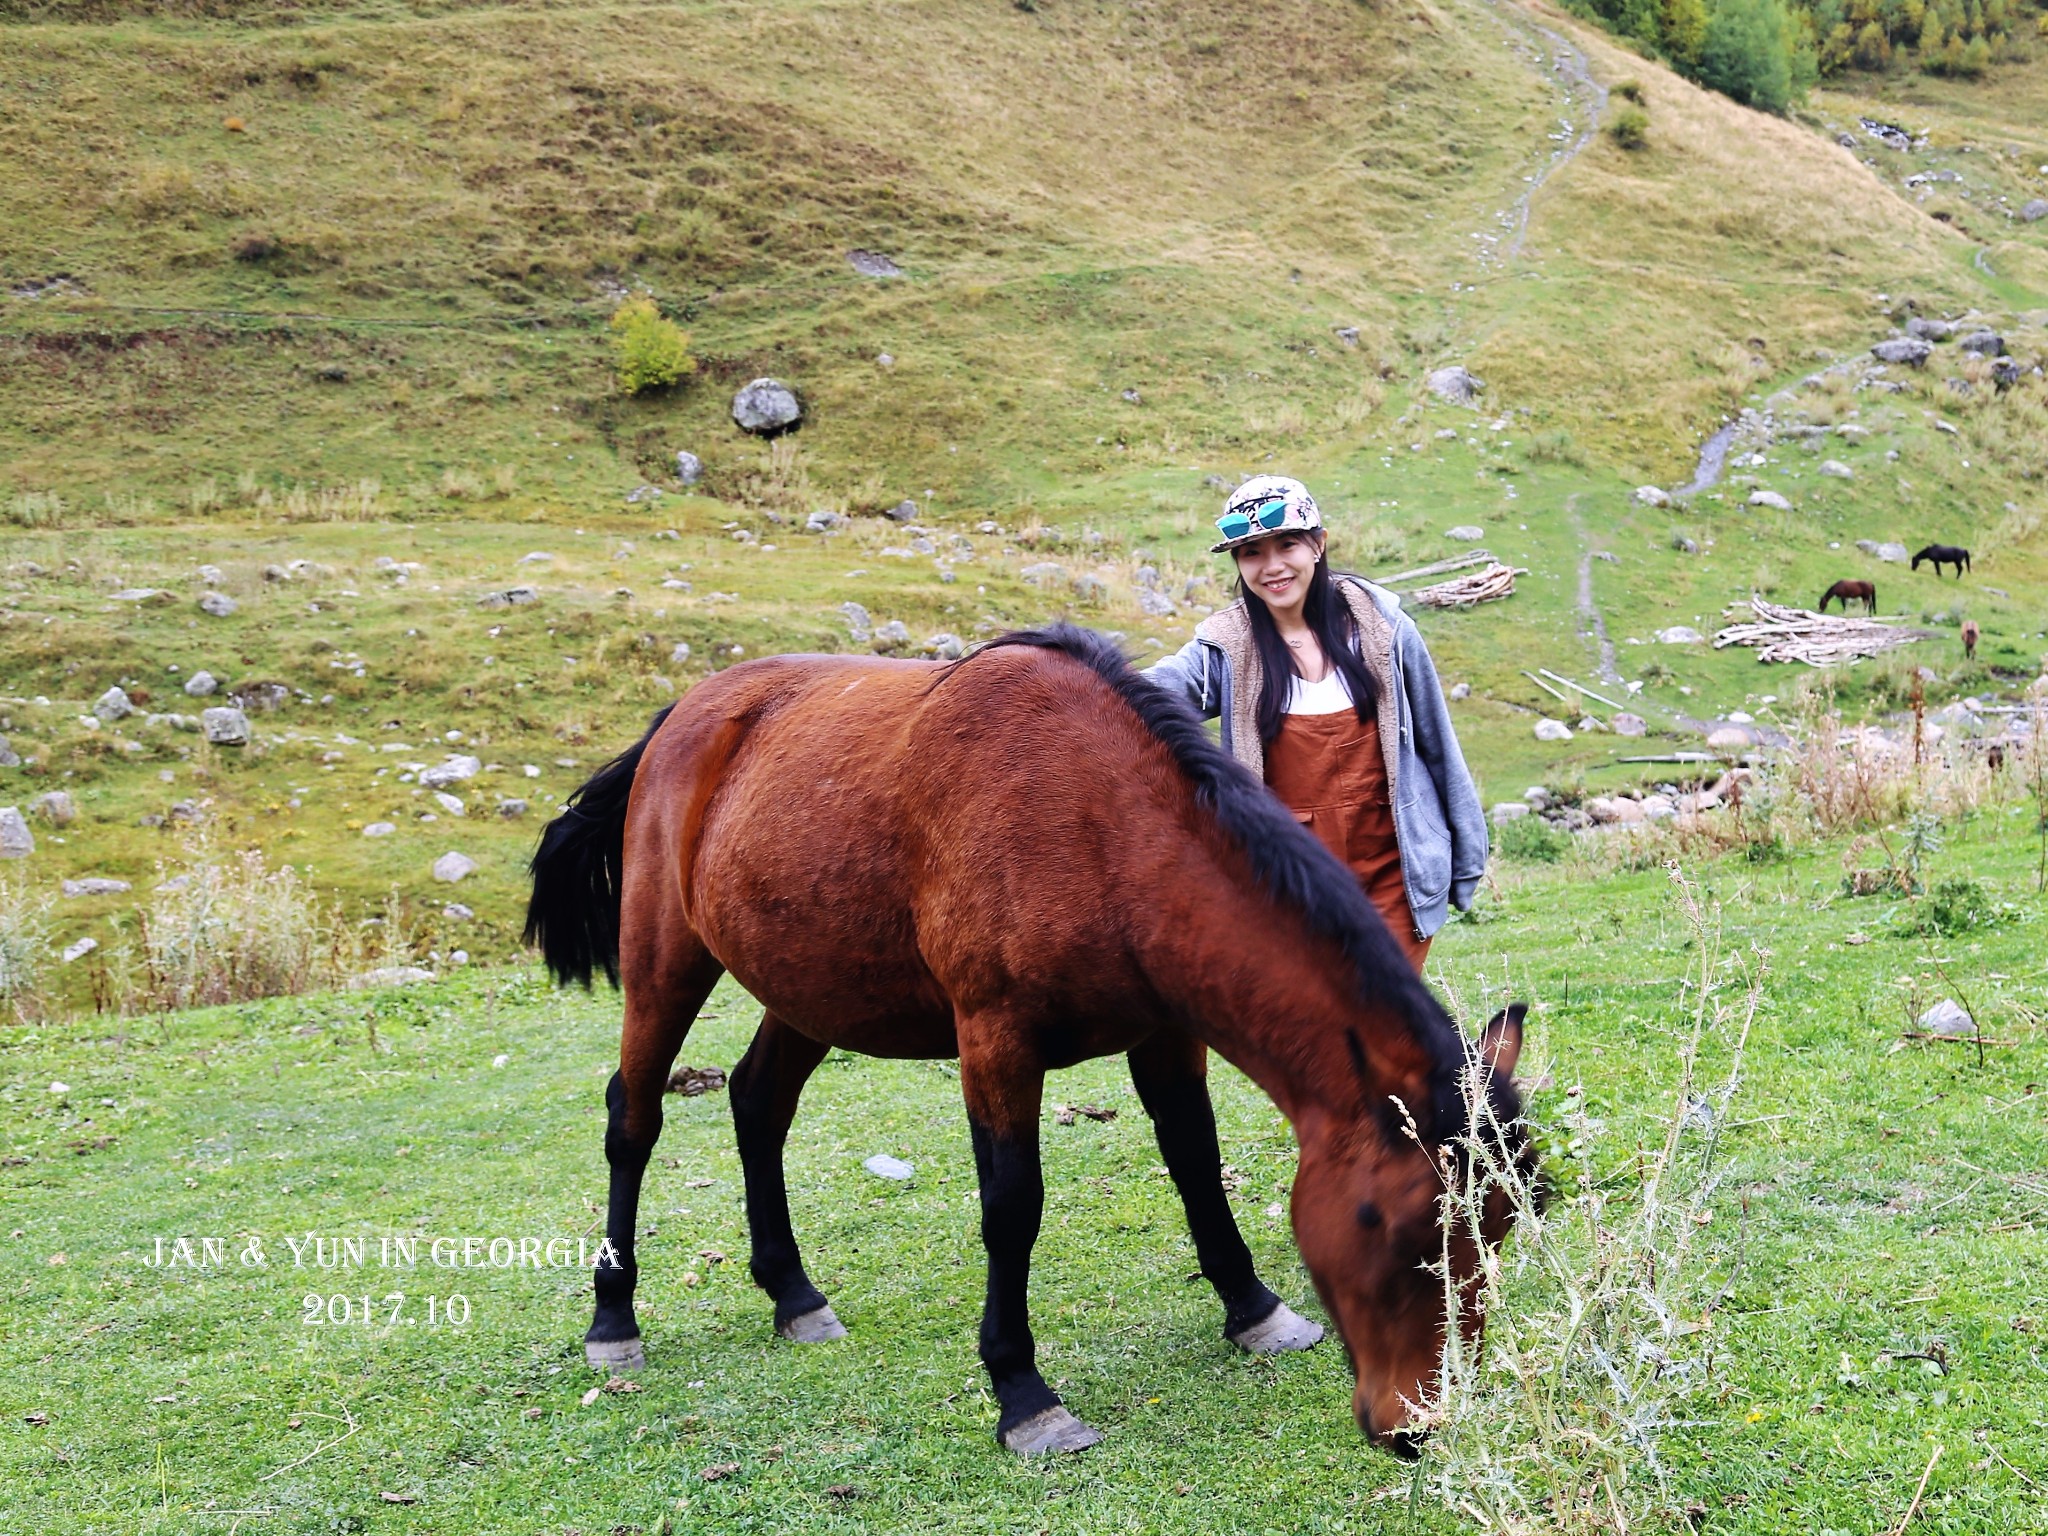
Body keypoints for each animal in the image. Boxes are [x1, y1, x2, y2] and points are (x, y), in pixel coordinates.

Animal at [528, 622, 1540, 1458]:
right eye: (1395, 1227)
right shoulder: (996, 1044)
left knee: (757, 1101)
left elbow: (1193, 1159)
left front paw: (1253, 1310)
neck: (1097, 824)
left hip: (813, 988)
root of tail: (685, 714)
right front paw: (1024, 1396)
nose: (1420, 1427)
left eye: (1498, 1228)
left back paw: (794, 1295)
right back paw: (614, 1321)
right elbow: (1013, 1208)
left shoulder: (1166, 1032)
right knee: (633, 1119)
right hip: (667, 960)